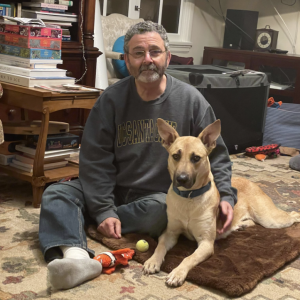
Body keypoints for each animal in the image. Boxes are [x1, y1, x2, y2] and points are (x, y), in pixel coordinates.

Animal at [143, 117, 300, 286]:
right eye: (175, 156)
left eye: (196, 158)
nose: (181, 179)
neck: (189, 197)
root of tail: (251, 182)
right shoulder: (169, 233)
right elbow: (160, 246)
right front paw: (152, 261)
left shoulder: (206, 243)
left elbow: (189, 258)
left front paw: (178, 272)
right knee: (252, 221)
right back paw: (242, 225)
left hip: (271, 219)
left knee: (293, 214)